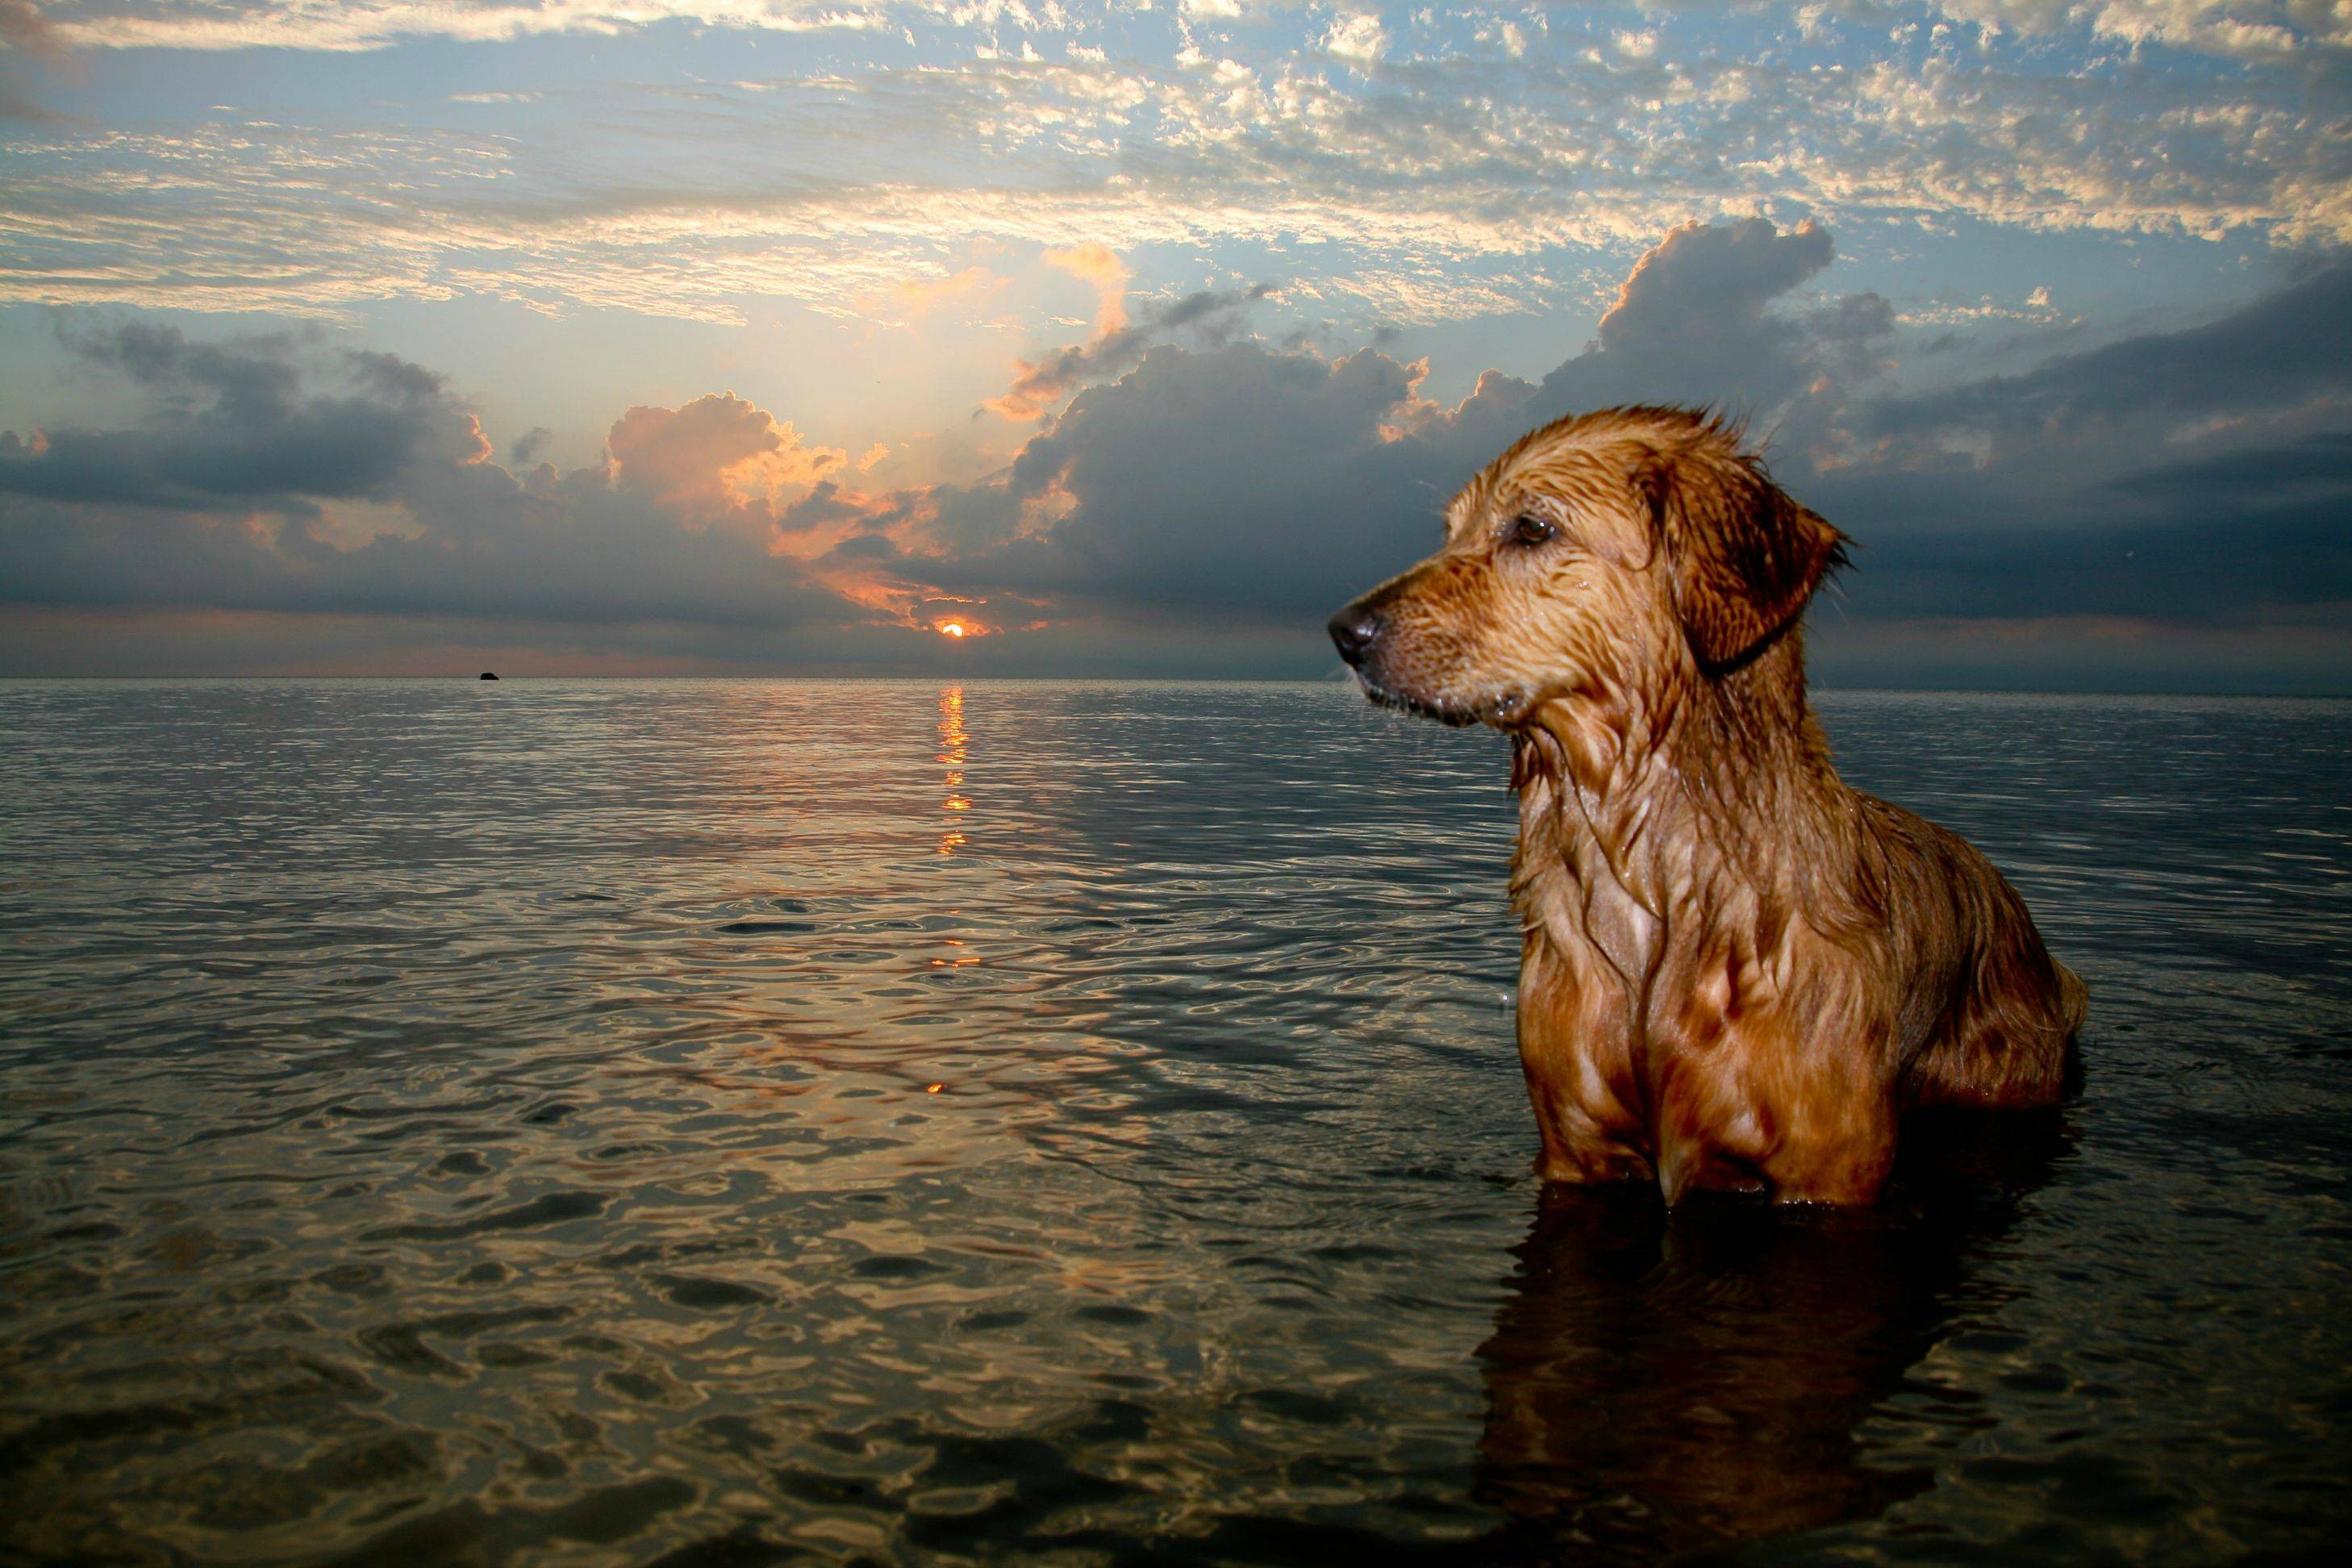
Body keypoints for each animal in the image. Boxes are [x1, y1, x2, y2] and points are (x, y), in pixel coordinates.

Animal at [1336, 404, 2088, 1203]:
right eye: (1453, 532)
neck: (1650, 881)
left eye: (1532, 528)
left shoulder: (1830, 1164)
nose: (1344, 631)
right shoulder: (1576, 1147)